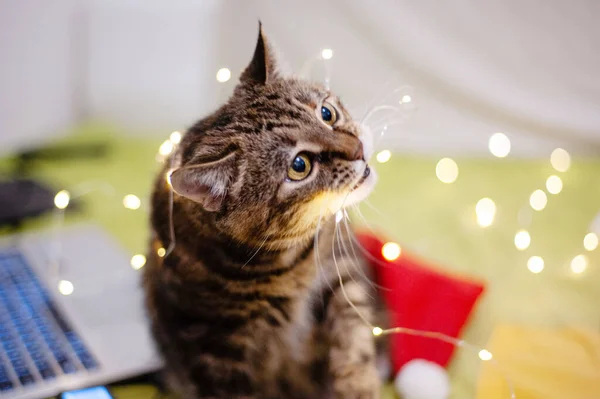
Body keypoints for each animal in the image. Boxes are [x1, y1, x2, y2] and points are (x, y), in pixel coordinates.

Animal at [143, 25, 382, 399]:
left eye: (326, 113)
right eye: (300, 166)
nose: (358, 148)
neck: (287, 265)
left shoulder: (340, 270)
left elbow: (353, 333)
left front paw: (359, 384)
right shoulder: (215, 347)